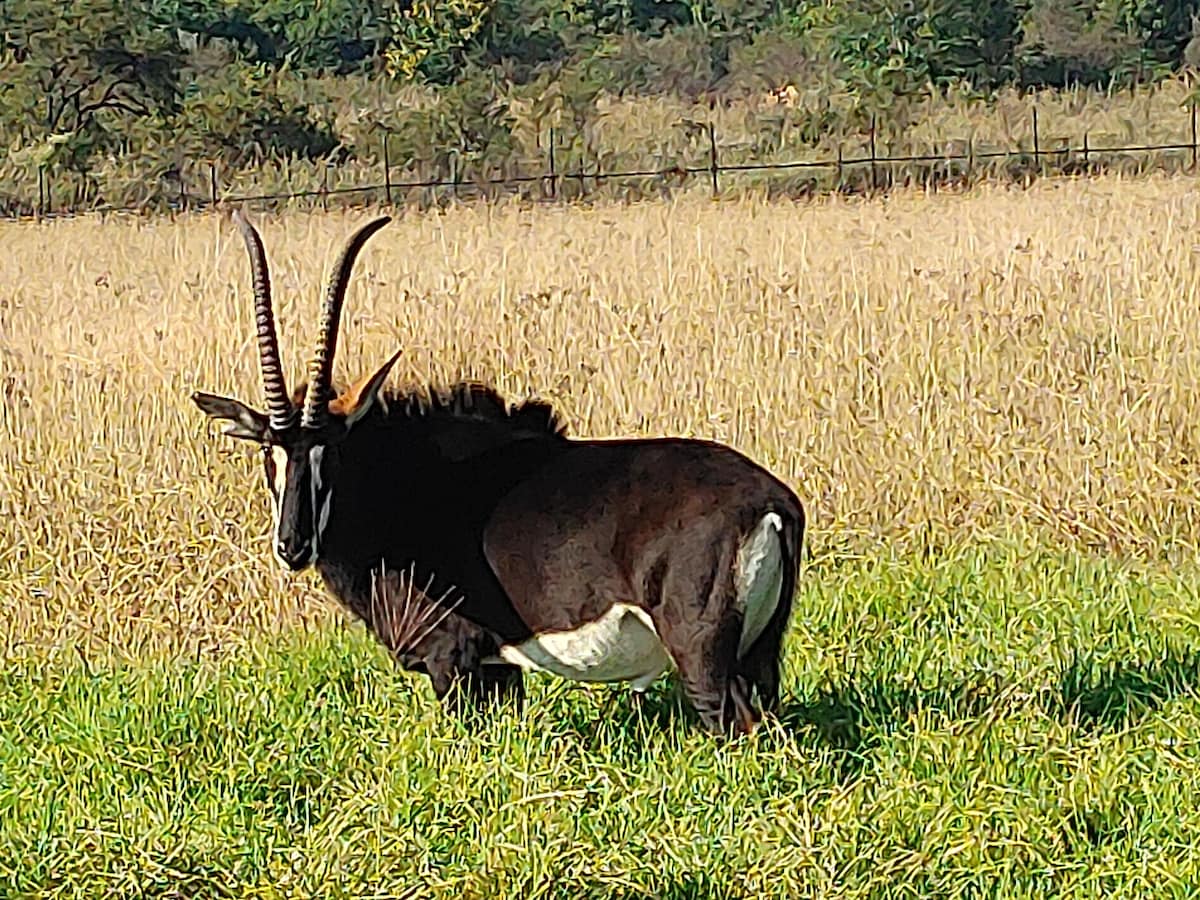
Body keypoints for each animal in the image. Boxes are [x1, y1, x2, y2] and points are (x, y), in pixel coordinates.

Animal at [192, 213, 801, 739]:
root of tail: (771, 504)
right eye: (270, 455)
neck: (408, 485)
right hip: (760, 654)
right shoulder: (499, 668)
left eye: (331, 455)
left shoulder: (454, 658)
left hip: (702, 655)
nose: (293, 546)